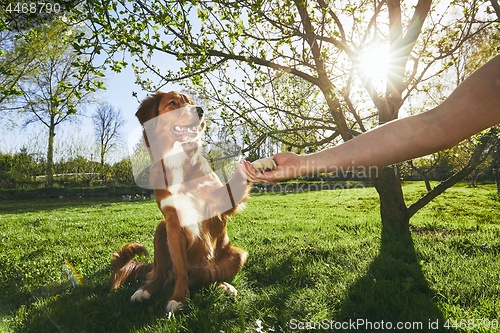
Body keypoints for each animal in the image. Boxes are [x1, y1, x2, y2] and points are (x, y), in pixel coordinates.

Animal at [107, 91, 276, 314]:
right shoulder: (172, 223)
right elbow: (180, 270)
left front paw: (259, 163)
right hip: (161, 229)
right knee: (161, 274)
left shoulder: (221, 201)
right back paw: (145, 291)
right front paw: (178, 298)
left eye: (191, 102)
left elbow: (239, 173)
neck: (177, 157)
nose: (201, 110)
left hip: (238, 255)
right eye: (173, 103)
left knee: (208, 278)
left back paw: (224, 286)